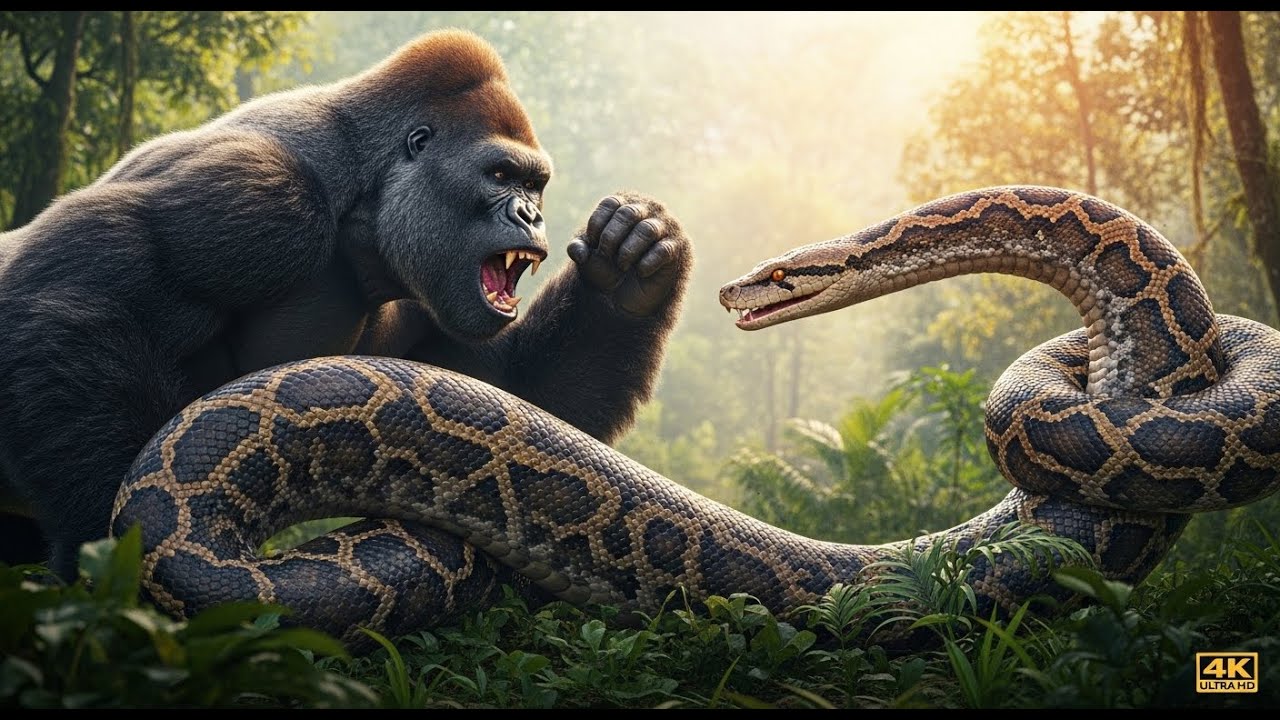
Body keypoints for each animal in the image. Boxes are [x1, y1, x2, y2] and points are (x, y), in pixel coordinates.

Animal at [0, 29, 691, 580]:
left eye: (535, 184)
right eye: (500, 176)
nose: (531, 215)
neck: (365, 193)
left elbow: (514, 416)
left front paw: (628, 274)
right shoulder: (254, 194)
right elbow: (70, 309)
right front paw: (110, 549)